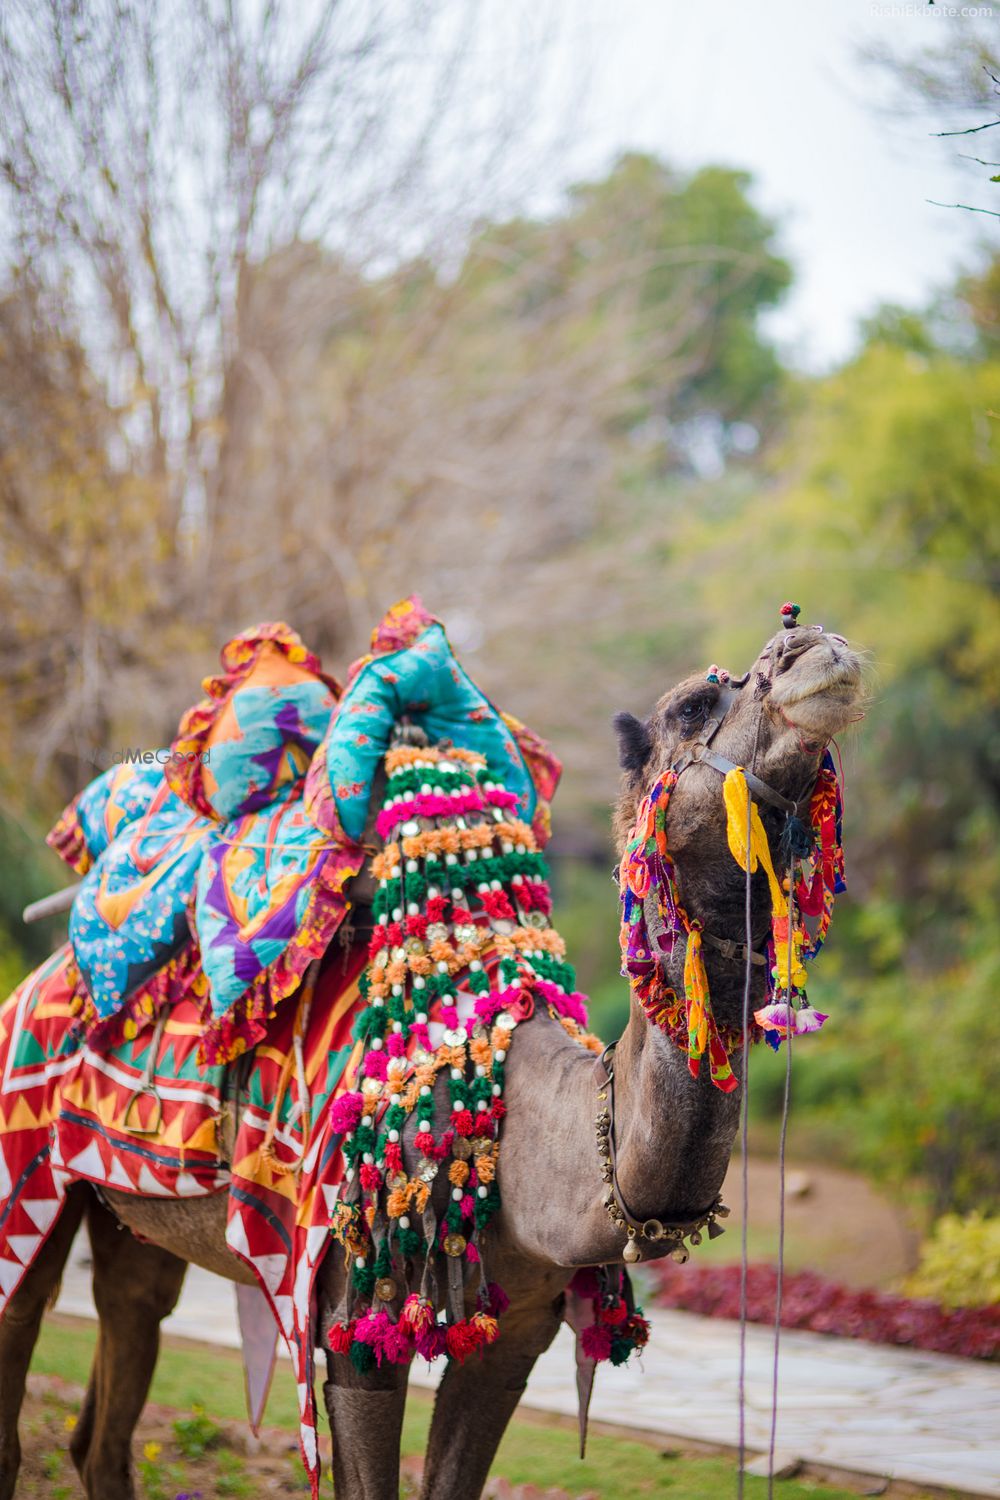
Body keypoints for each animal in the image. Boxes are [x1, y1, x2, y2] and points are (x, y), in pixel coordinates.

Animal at [0, 615, 863, 1494]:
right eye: (692, 704)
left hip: (134, 1218)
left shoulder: (518, 1336)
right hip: (23, 1172)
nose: (813, 643)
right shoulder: (353, 1316)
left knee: (119, 1355)